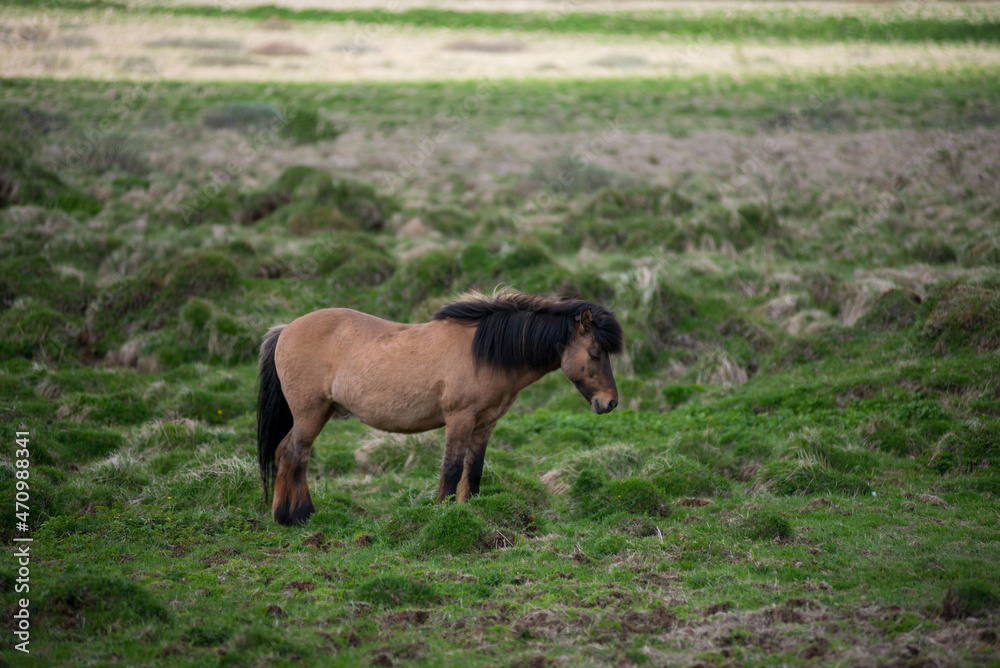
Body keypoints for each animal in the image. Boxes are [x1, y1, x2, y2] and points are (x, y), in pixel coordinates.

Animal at [256, 289, 624, 526]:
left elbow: (473, 471)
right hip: (310, 412)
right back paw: (299, 516)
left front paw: (470, 512)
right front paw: (442, 513)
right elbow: (451, 468)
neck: (484, 353)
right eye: (594, 354)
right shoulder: (459, 419)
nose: (609, 403)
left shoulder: (485, 424)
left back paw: (287, 516)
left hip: (319, 412)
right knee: (295, 453)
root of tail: (285, 329)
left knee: (286, 452)